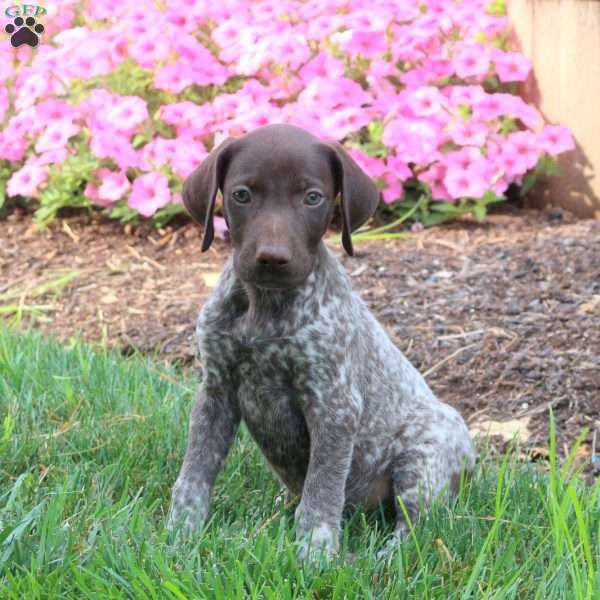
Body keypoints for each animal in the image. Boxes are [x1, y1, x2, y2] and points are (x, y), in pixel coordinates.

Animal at [166, 124, 476, 560]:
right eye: (242, 195)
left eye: (312, 198)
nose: (272, 258)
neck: (265, 307)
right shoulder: (216, 391)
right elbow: (194, 474)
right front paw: (180, 536)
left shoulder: (334, 406)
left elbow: (321, 491)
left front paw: (314, 554)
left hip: (422, 457)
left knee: (414, 528)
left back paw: (379, 560)